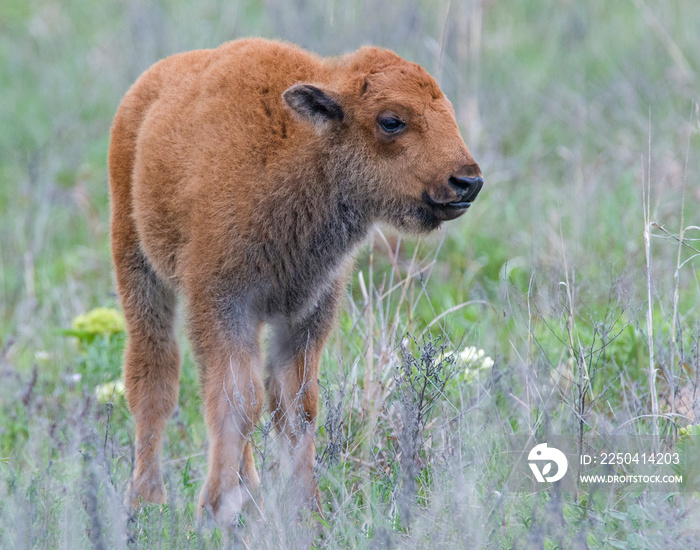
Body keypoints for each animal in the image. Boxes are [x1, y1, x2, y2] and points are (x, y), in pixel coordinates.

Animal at [109, 37, 482, 520]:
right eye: (391, 120)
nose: (467, 181)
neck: (306, 149)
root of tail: (145, 91)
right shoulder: (223, 306)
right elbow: (236, 401)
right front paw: (219, 507)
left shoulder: (305, 315)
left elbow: (295, 407)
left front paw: (308, 512)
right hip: (137, 267)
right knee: (153, 378)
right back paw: (148, 500)